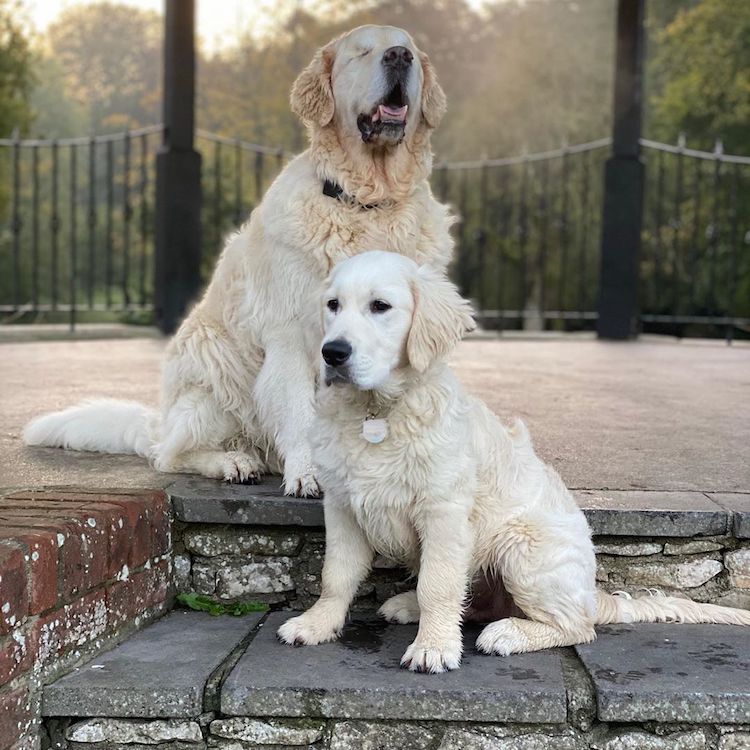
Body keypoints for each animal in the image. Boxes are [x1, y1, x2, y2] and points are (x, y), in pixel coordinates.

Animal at [23, 27, 456, 500]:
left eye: (409, 50)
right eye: (361, 52)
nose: (398, 57)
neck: (369, 202)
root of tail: (160, 421)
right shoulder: (291, 336)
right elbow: (300, 415)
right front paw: (308, 474)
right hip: (213, 368)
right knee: (172, 454)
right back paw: (233, 461)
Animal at [280, 253, 750, 676]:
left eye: (380, 306)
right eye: (332, 305)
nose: (332, 353)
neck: (375, 412)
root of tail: (593, 595)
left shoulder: (444, 510)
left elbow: (438, 583)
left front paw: (433, 648)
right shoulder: (342, 505)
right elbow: (336, 575)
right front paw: (317, 624)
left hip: (521, 545)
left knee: (576, 626)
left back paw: (508, 632)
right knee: (474, 602)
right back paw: (410, 606)